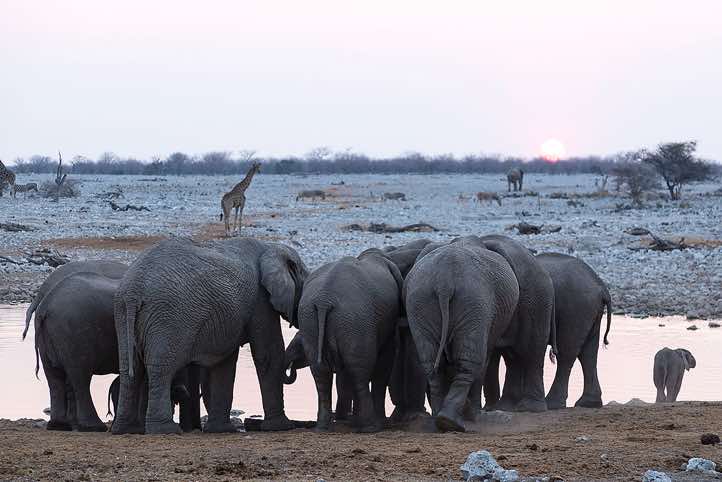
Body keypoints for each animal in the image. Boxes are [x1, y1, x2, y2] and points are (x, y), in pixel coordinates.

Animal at [33, 271, 124, 431]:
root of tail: (45, 306)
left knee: (55, 377)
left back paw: (60, 425)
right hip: (76, 333)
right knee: (80, 377)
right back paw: (93, 427)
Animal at [112, 237, 307, 434]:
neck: (271, 248)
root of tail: (133, 292)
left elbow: (225, 363)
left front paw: (221, 430)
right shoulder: (260, 299)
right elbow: (268, 355)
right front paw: (281, 427)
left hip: (122, 312)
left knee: (130, 368)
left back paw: (125, 429)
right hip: (166, 316)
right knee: (161, 368)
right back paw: (166, 430)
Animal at [298, 248, 404, 432]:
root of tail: (324, 300)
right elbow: (384, 363)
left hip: (311, 320)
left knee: (321, 372)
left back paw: (323, 428)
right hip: (354, 320)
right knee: (359, 371)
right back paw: (371, 427)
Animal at [405, 242, 520, 432]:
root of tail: (444, 282)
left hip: (420, 303)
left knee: (432, 363)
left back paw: (441, 421)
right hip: (474, 302)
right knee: (471, 363)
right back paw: (454, 422)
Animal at [536, 253, 612, 409]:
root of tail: (601, 287)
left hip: (575, 310)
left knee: (567, 353)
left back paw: (553, 404)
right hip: (587, 311)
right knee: (589, 353)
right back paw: (588, 403)